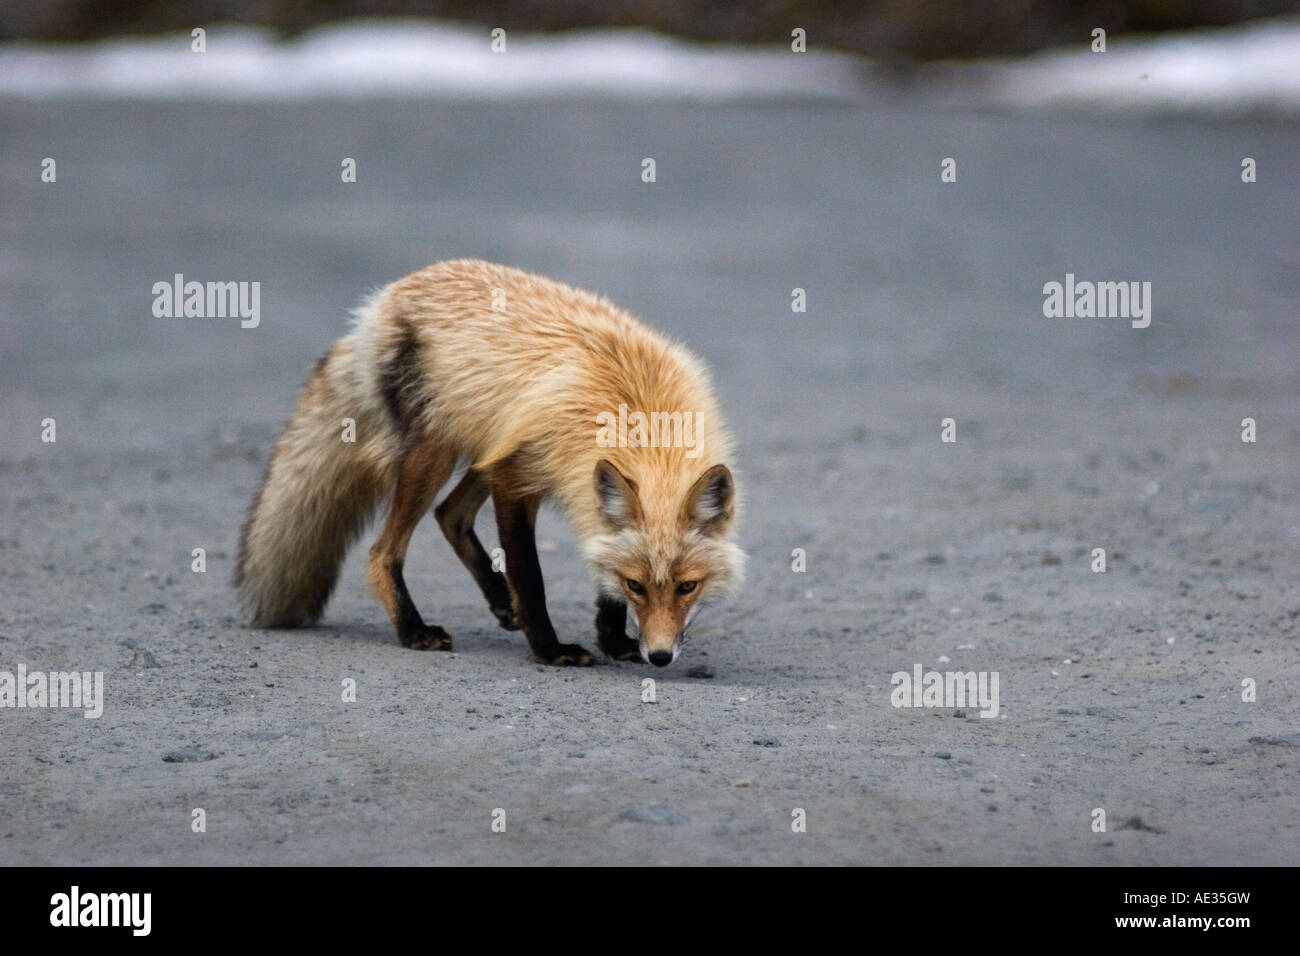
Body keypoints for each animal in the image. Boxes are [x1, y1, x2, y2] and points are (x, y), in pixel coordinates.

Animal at [235, 259, 743, 667]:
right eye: (638, 586)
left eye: (687, 587)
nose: (659, 657)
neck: (640, 411)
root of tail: (380, 303)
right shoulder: (519, 478)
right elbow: (531, 577)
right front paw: (550, 650)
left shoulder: (567, 485)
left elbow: (601, 556)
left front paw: (613, 638)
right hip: (437, 453)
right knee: (385, 550)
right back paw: (414, 630)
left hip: (487, 443)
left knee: (450, 514)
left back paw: (501, 602)